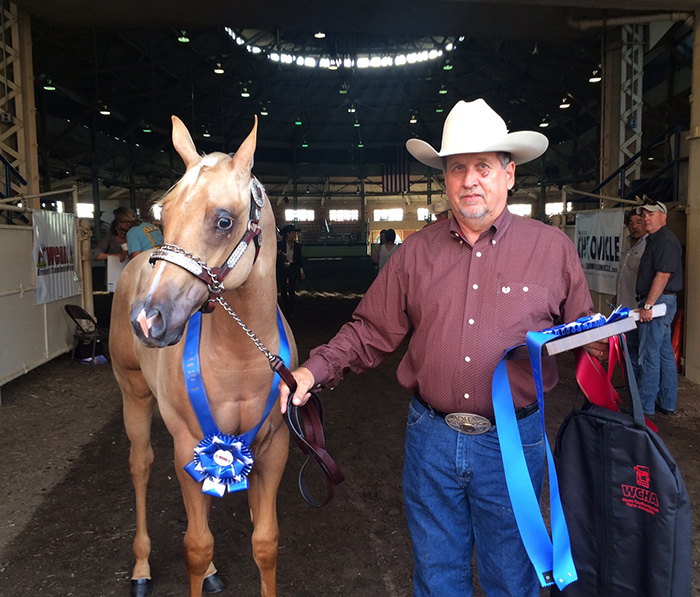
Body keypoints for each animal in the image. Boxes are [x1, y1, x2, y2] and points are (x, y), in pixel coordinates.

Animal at [110, 116, 296, 596]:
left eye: (223, 220)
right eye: (164, 213)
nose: (148, 320)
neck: (241, 358)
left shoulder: (273, 446)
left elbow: (265, 542)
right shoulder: (187, 443)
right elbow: (196, 547)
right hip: (134, 397)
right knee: (140, 466)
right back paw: (141, 567)